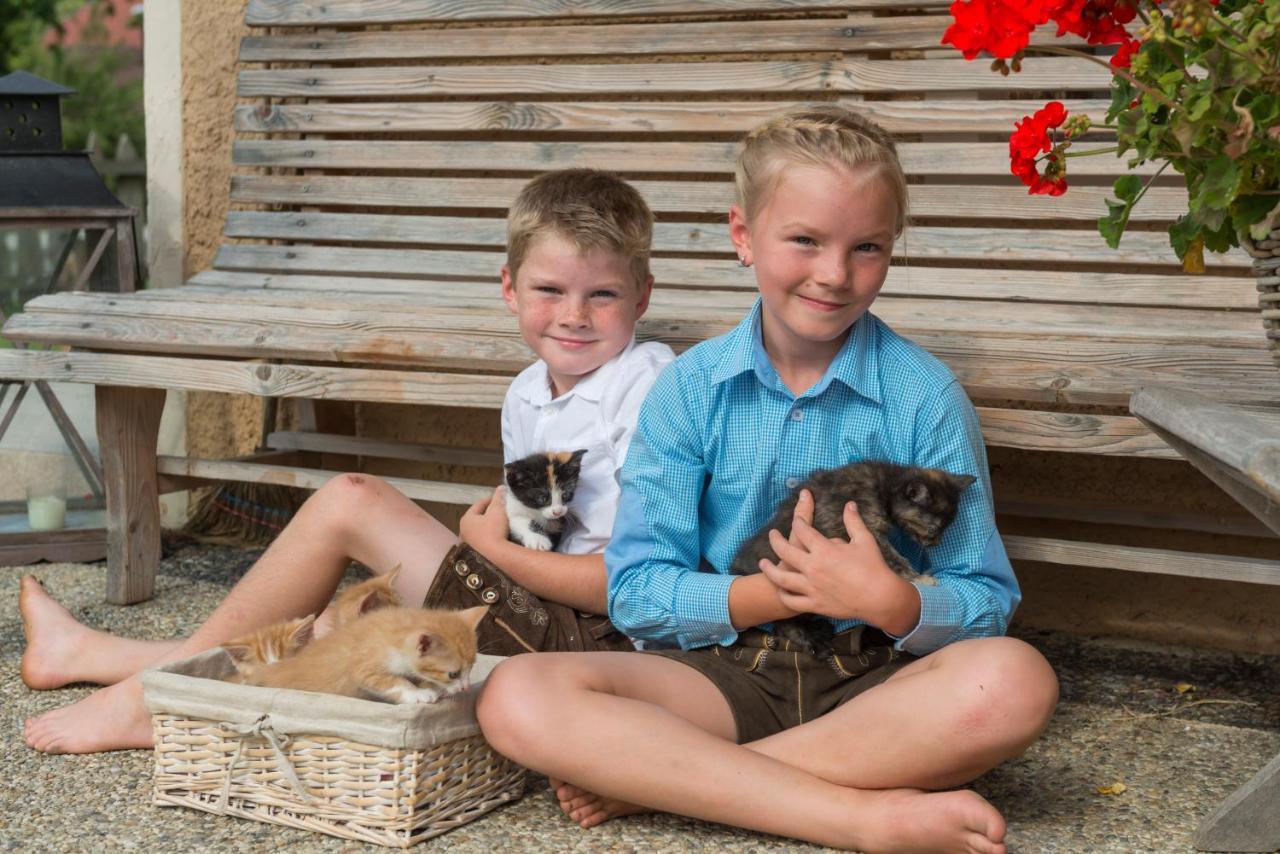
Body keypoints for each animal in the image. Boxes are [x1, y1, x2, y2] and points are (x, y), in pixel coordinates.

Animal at [244, 604, 488, 706]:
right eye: (453, 674)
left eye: (472, 668)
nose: (466, 688)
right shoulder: (364, 666)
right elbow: (394, 681)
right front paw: (418, 694)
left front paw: (429, 687)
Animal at [737, 463, 972, 660]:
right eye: (934, 529)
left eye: (947, 527)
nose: (936, 543)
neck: (885, 483)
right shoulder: (864, 529)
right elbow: (894, 558)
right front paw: (920, 578)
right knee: (785, 622)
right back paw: (813, 641)